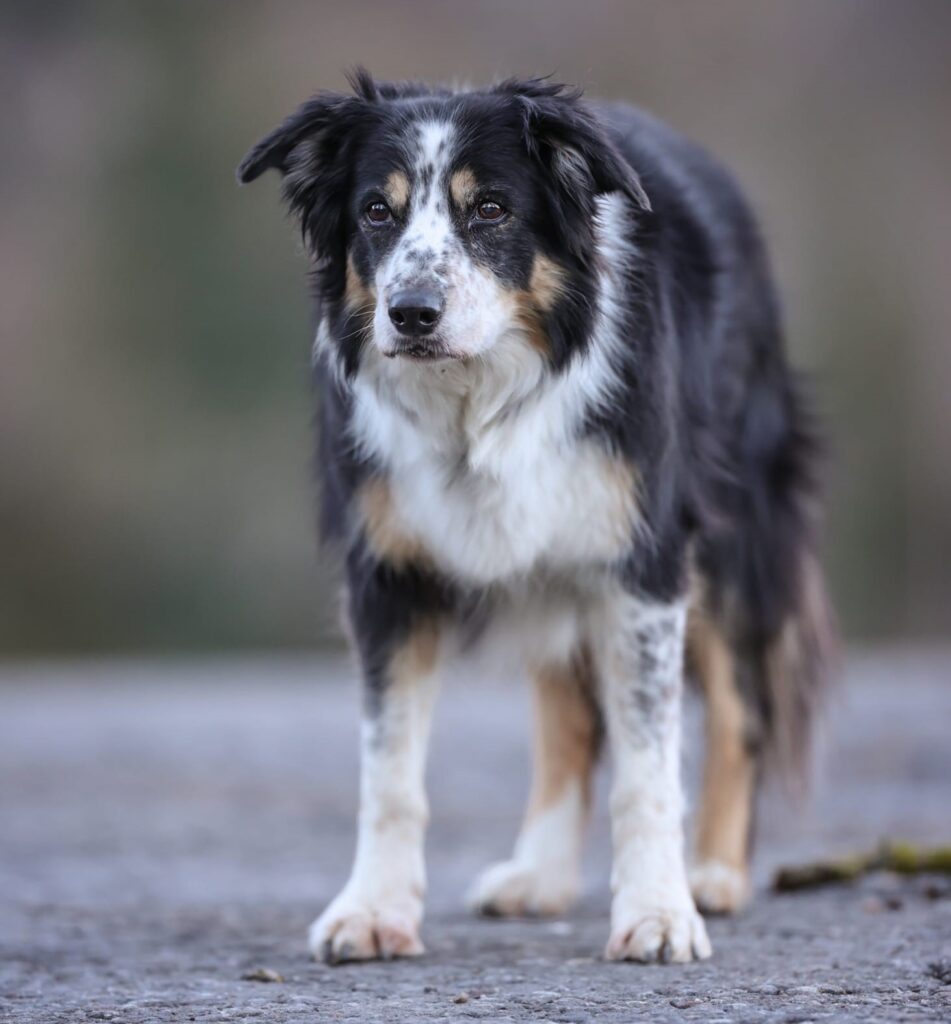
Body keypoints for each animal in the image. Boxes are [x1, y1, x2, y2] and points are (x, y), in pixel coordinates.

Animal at [239, 74, 831, 966]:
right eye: (376, 212)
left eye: (490, 209)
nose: (410, 313)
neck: (477, 398)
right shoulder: (386, 577)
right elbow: (389, 772)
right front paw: (372, 911)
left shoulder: (641, 562)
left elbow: (648, 767)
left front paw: (657, 914)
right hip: (552, 564)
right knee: (566, 713)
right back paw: (541, 874)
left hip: (728, 531)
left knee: (739, 713)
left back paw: (713, 875)